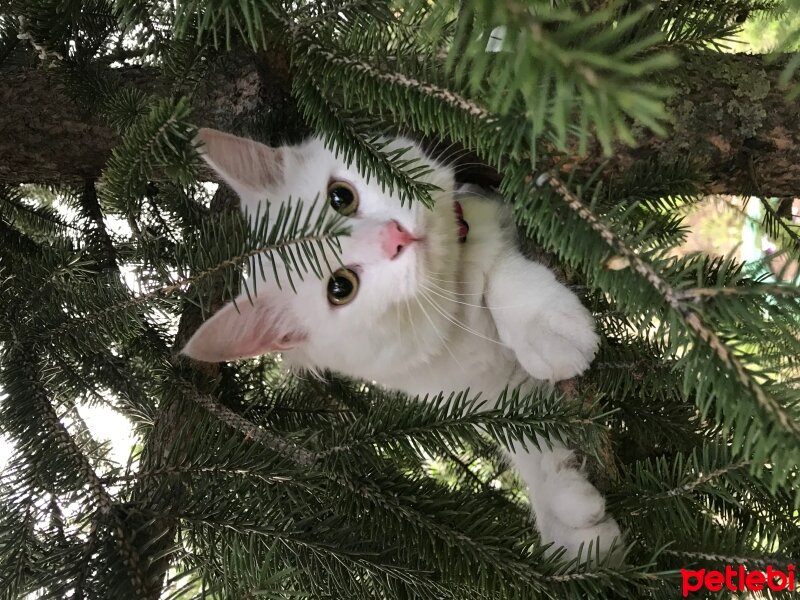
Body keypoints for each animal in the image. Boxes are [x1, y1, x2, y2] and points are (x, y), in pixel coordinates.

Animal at [184, 127, 620, 564]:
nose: (393, 237)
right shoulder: (484, 394)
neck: (454, 311)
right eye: (340, 287)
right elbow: (525, 438)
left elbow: (501, 276)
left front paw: (547, 327)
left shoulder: (489, 215)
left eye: (341, 197)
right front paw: (570, 522)